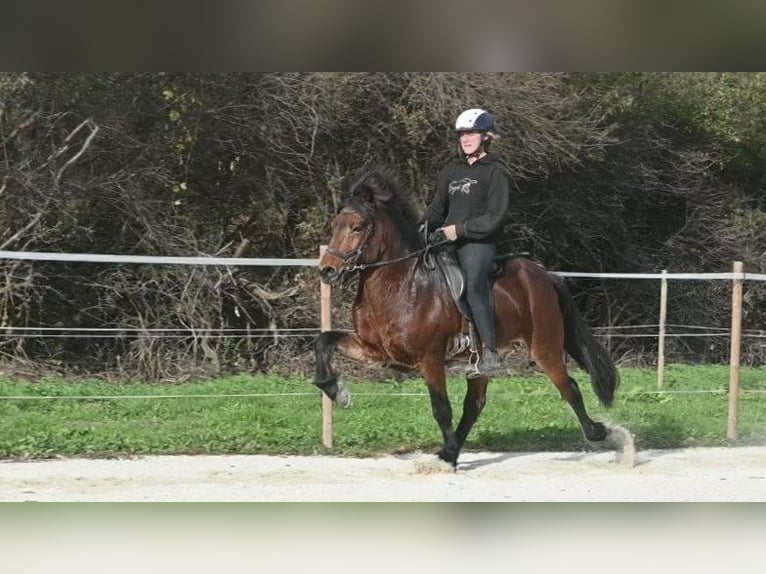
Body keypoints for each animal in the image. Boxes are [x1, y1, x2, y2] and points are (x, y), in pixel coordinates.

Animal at [314, 166, 619, 467]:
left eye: (358, 227)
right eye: (335, 225)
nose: (327, 271)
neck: (400, 285)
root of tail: (544, 274)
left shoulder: (430, 358)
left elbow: (441, 408)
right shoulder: (374, 350)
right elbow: (324, 342)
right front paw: (338, 391)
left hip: (544, 346)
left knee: (569, 387)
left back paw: (599, 432)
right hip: (481, 360)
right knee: (475, 404)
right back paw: (451, 452)